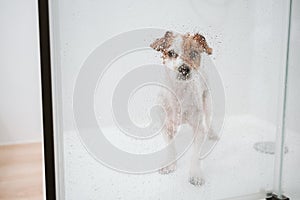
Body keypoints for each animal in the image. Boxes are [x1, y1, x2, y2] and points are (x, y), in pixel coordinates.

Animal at [151, 30, 214, 186]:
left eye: (193, 53)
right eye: (171, 53)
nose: (184, 69)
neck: (179, 94)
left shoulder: (199, 129)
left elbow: (195, 154)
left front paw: (195, 174)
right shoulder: (166, 126)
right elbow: (170, 146)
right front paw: (170, 165)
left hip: (207, 103)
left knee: (209, 122)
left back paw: (212, 134)